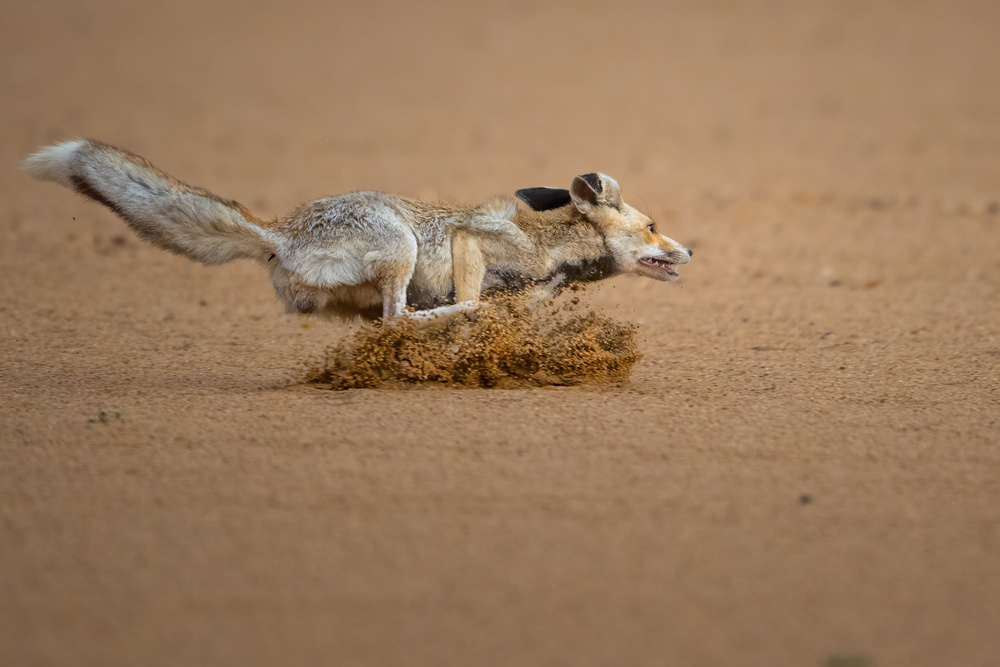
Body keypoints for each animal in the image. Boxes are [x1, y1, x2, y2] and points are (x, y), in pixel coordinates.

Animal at [25, 138, 696, 320]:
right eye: (654, 226)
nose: (689, 250)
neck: (555, 249)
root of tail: (281, 233)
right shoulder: (471, 241)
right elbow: (474, 293)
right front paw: (474, 315)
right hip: (399, 241)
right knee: (398, 317)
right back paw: (446, 316)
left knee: (375, 318)